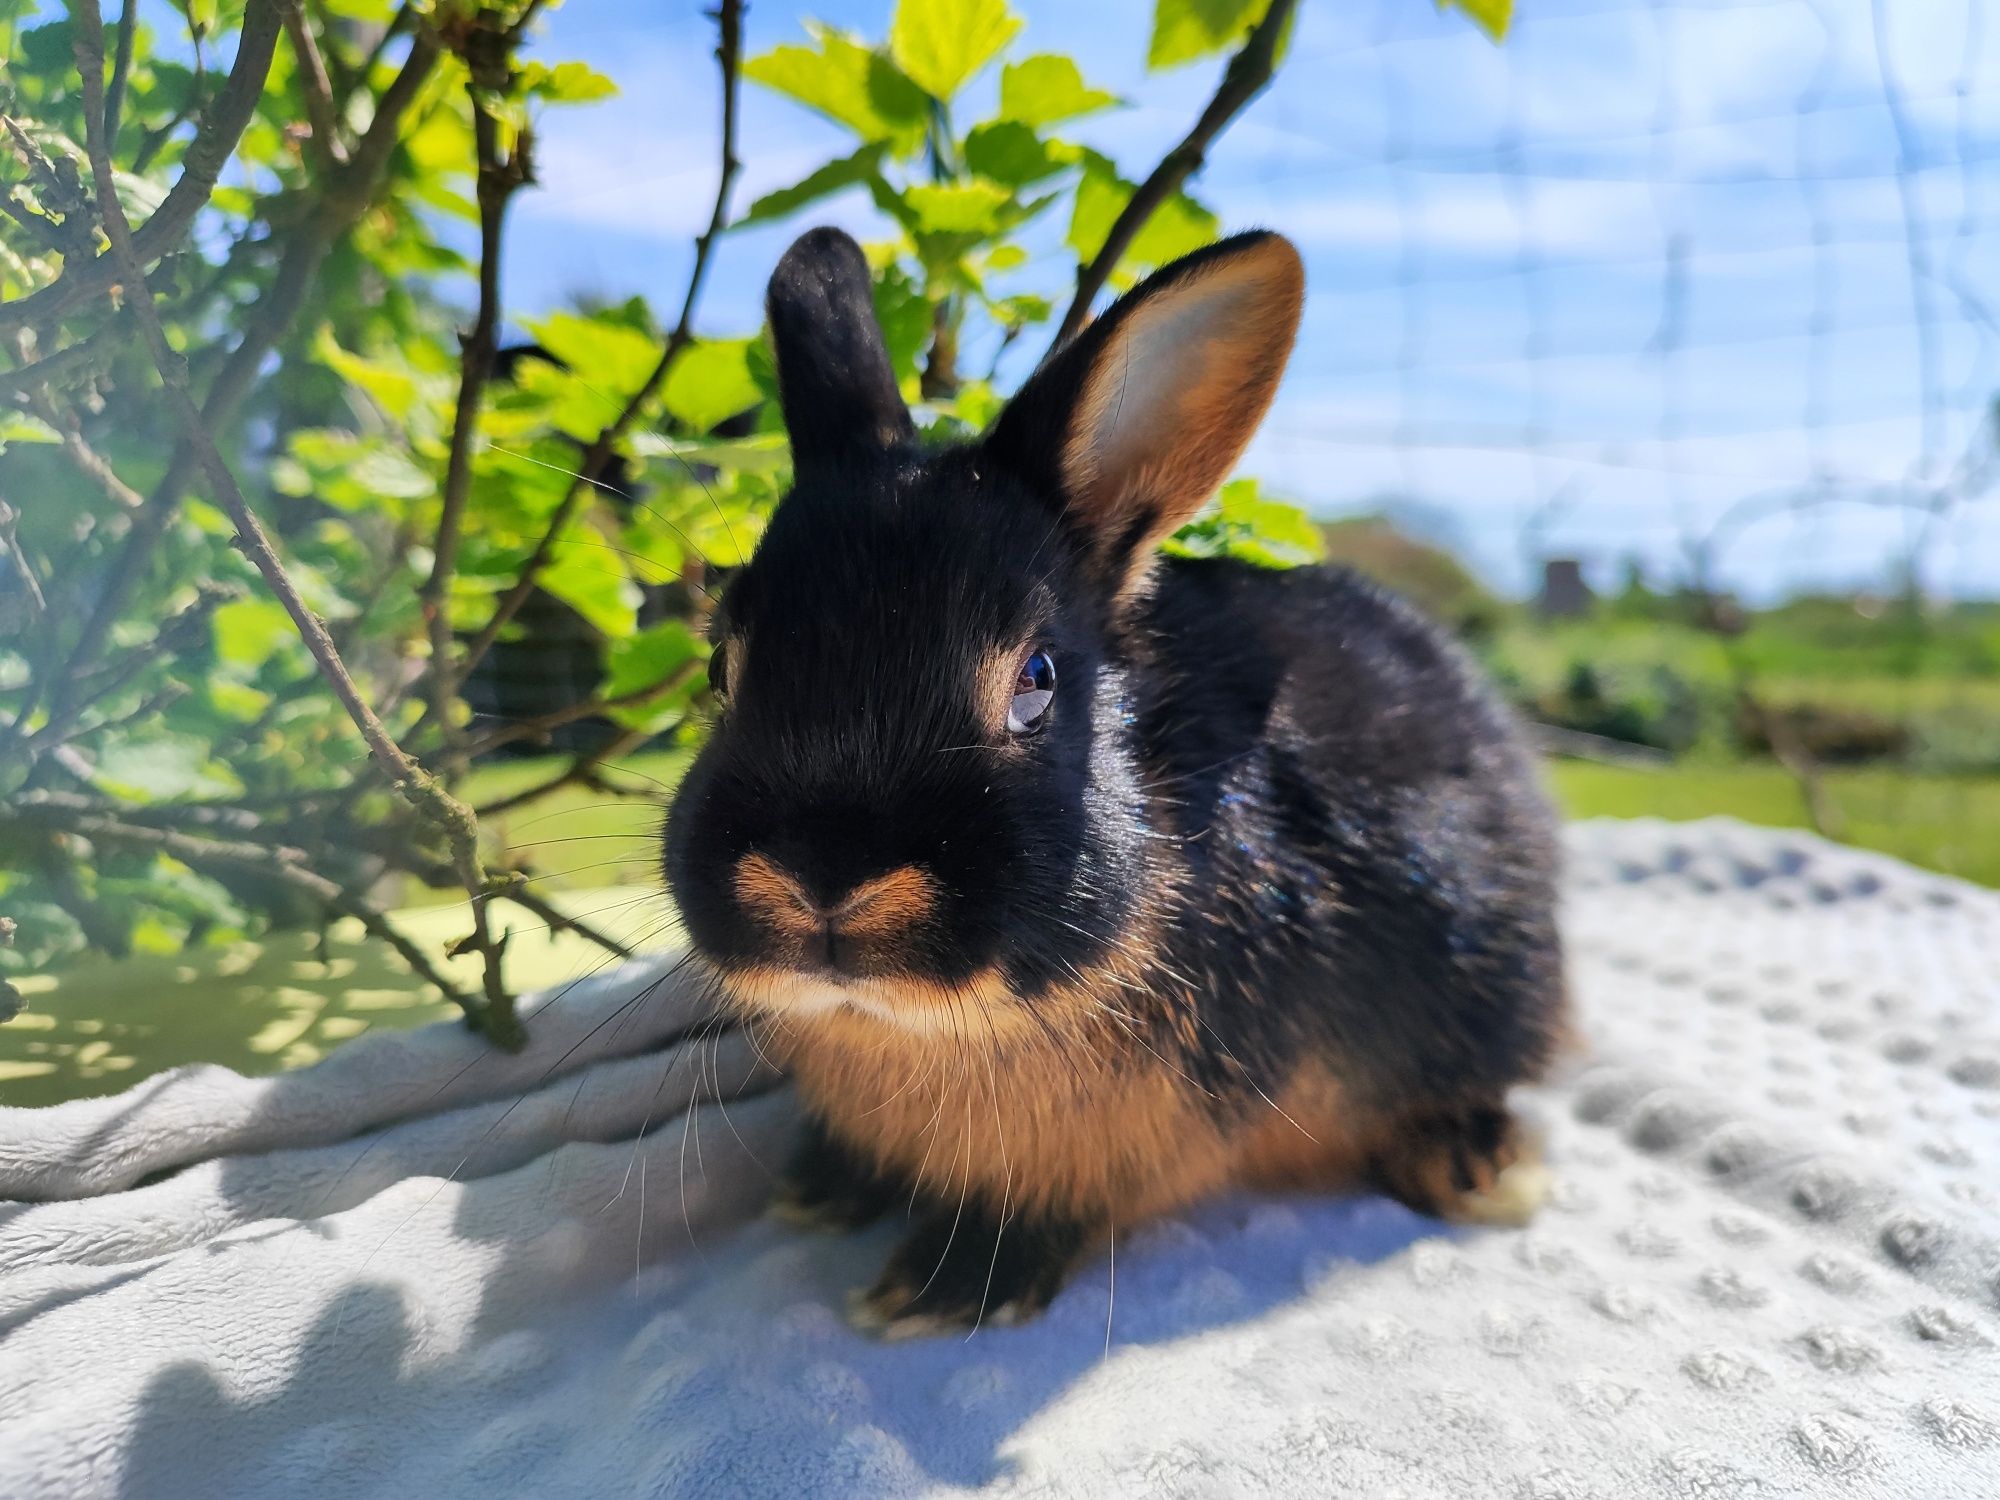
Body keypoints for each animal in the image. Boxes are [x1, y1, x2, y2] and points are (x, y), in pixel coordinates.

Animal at [664, 232, 1568, 1336]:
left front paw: (942, 1288)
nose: (820, 877)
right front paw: (826, 1189)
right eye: (721, 665)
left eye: (1037, 679)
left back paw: (1474, 1167)